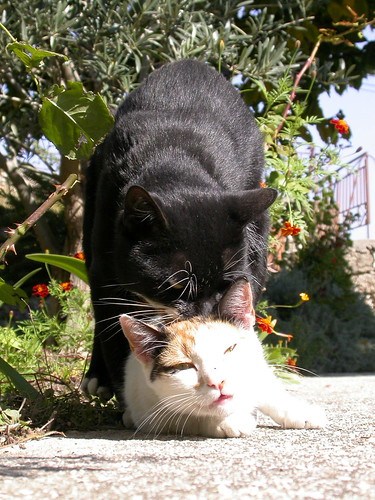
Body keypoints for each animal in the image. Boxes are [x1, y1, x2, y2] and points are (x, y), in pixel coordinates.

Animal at [82, 59, 276, 402]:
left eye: (225, 283)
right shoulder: (105, 267)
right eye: (178, 286)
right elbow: (113, 330)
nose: (207, 314)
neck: (174, 160)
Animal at [119, 282, 326, 438]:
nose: (217, 382)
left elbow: (269, 391)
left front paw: (299, 411)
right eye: (184, 366)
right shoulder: (153, 415)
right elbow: (191, 415)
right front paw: (227, 421)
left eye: (229, 349)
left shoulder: (259, 365)